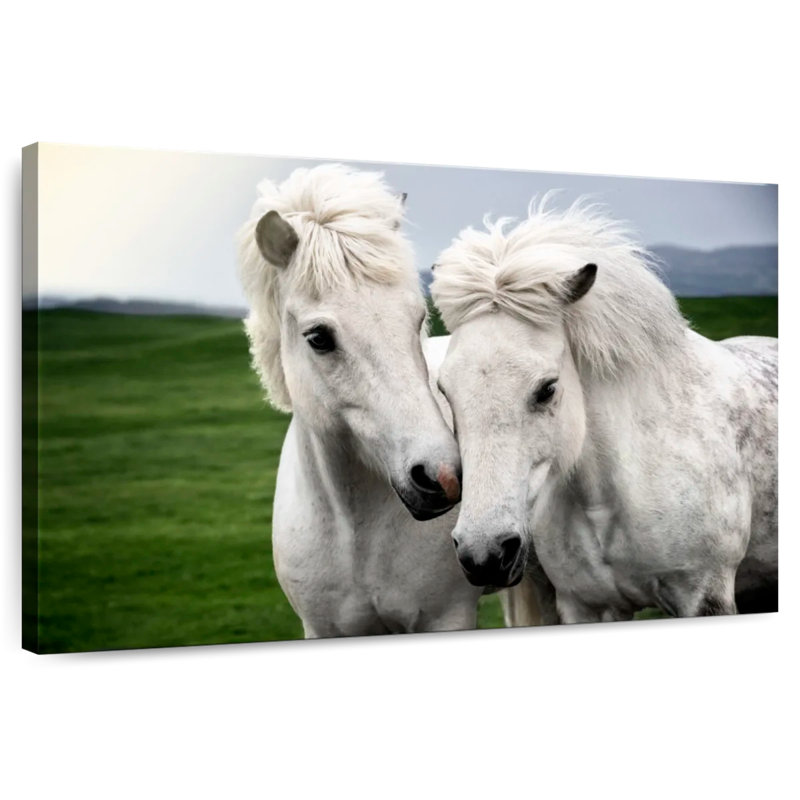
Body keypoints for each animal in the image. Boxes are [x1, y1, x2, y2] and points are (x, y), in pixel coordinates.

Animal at [237, 164, 482, 637]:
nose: (443, 477)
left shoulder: (447, 618)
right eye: (318, 337)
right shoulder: (323, 628)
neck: (354, 531)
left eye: (418, 318)